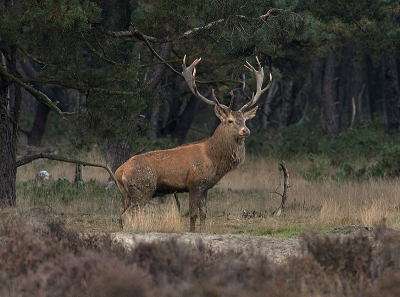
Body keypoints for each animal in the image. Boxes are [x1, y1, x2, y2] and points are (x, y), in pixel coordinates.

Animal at [114, 55, 274, 231]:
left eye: (244, 120)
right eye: (230, 121)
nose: (246, 130)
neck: (214, 159)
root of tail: (119, 172)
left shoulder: (206, 187)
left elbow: (204, 213)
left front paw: (203, 230)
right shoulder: (195, 183)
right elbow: (193, 214)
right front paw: (192, 231)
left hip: (125, 194)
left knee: (120, 215)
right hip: (143, 189)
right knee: (129, 215)